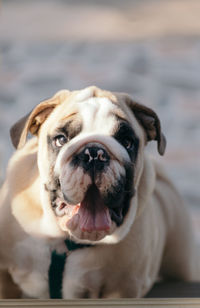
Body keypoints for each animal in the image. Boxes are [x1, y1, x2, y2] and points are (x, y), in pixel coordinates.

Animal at [0, 86, 200, 298]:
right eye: (60, 140)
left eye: (127, 142)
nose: (94, 153)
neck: (68, 242)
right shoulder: (6, 277)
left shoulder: (122, 288)